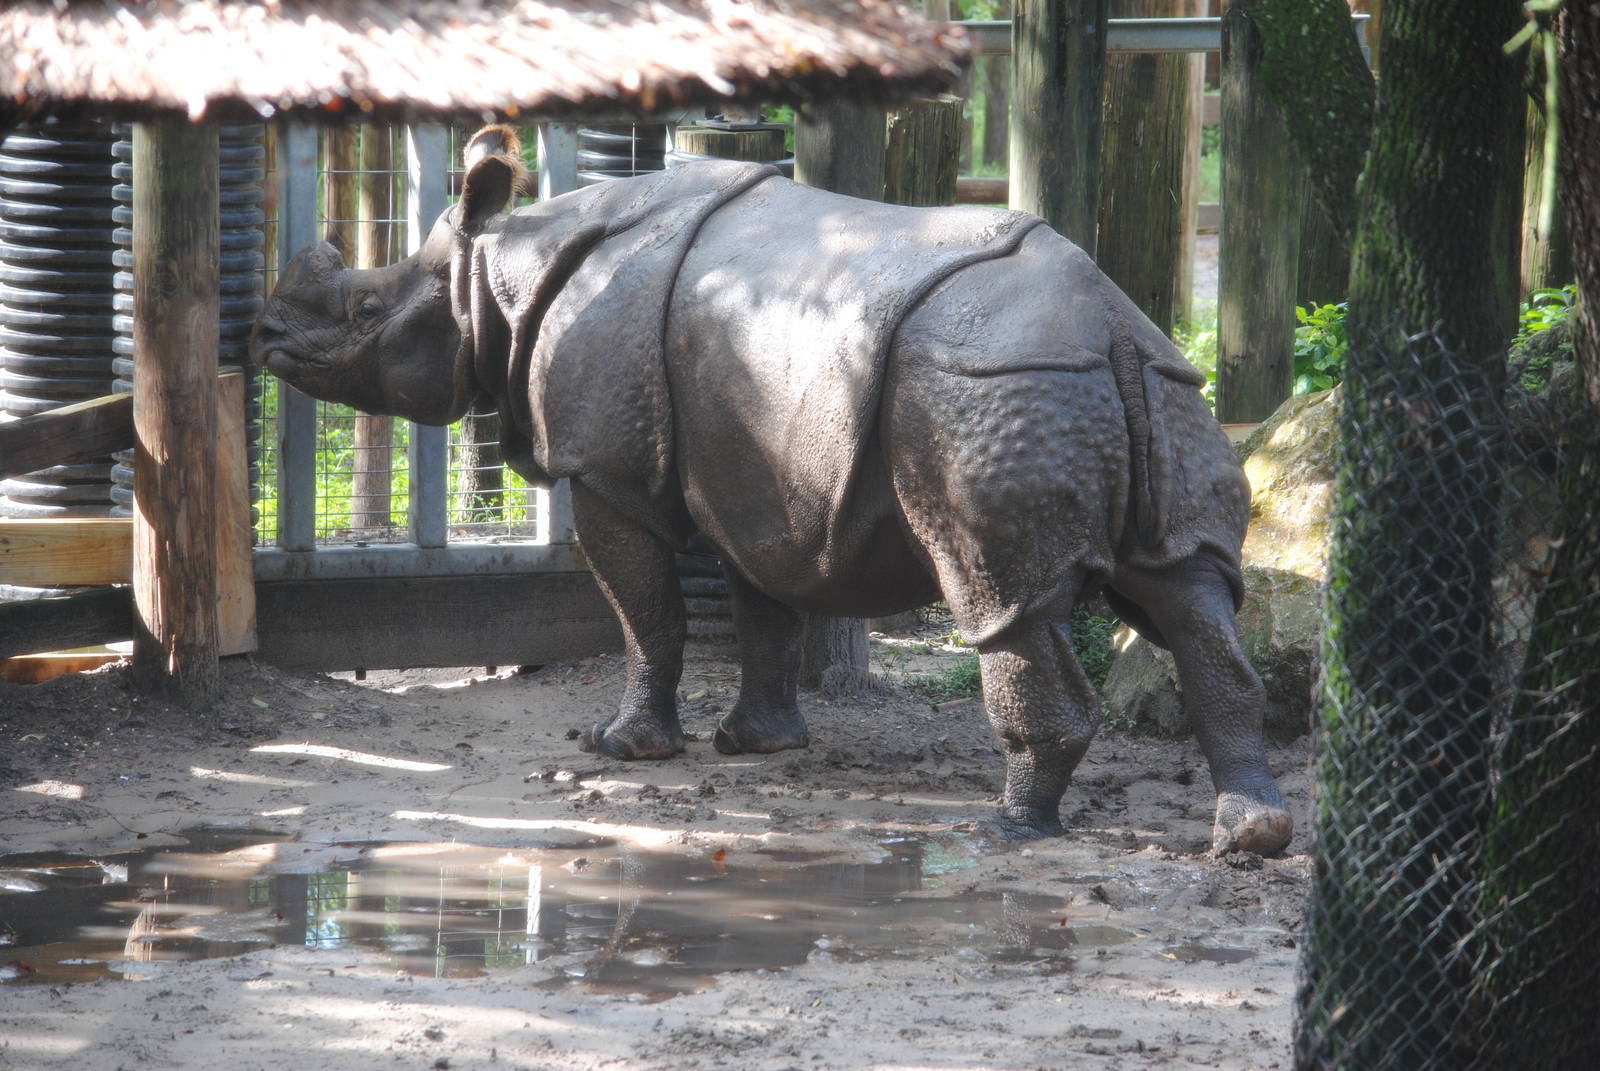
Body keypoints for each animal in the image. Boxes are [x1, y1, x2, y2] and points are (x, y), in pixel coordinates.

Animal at [252, 125, 1291, 855]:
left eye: (364, 310)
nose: (264, 335)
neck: (496, 276)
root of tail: (1108, 329)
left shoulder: (606, 465)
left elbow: (646, 610)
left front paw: (623, 747)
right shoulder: (747, 467)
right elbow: (764, 602)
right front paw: (759, 745)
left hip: (990, 392)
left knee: (1006, 605)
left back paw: (1011, 830)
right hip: (1154, 386)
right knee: (1189, 590)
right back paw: (1251, 836)